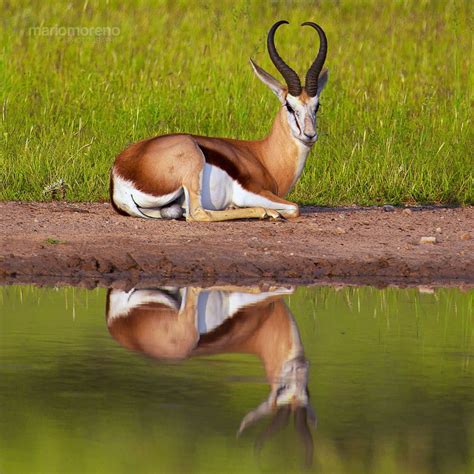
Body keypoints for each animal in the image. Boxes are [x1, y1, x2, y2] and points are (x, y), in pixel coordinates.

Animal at [106, 286, 316, 464]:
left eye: (305, 392)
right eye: (283, 388)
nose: (301, 365)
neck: (264, 324)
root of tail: (118, 321)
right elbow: (285, 290)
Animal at [109, 20, 328, 222]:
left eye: (317, 106)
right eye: (289, 106)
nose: (309, 135)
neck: (264, 157)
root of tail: (120, 175)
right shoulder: (253, 192)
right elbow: (294, 207)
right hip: (193, 163)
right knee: (197, 214)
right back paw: (265, 212)